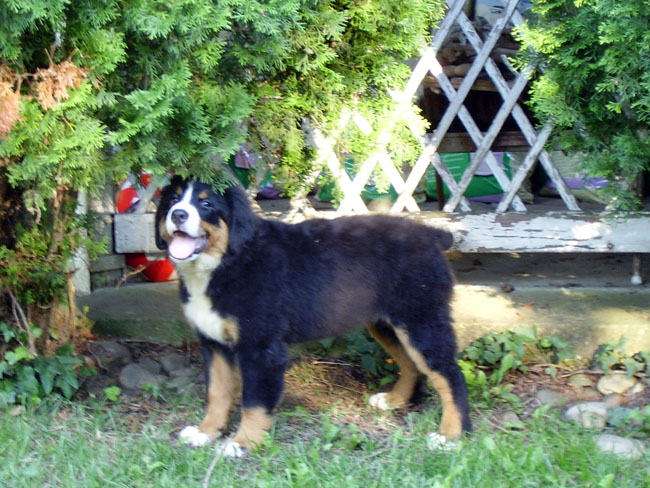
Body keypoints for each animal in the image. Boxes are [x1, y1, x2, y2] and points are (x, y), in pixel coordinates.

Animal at [155, 176, 471, 457]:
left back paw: (451, 436)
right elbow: (217, 393)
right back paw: (395, 400)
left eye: (206, 203)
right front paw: (206, 432)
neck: (226, 262)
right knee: (411, 364)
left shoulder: (260, 348)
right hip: (388, 324)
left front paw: (242, 443)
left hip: (421, 320)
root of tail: (431, 234)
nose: (178, 214)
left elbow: (253, 402)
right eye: (172, 200)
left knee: (450, 375)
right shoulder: (214, 343)